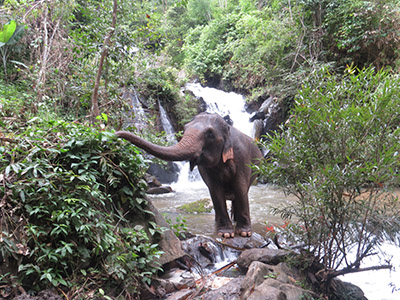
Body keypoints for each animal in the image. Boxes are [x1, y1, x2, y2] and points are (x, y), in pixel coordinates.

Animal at [115, 111, 264, 238]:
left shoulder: (242, 158)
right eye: (185, 128)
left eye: (210, 134)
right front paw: (225, 233)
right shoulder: (206, 169)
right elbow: (215, 191)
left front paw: (244, 233)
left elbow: (240, 187)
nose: (115, 135)